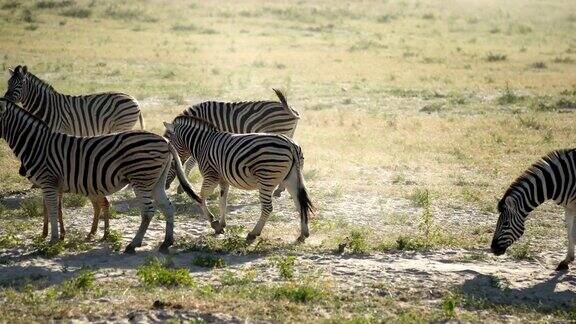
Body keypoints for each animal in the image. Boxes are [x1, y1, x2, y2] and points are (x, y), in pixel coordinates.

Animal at [0, 98, 202, 253]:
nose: (21, 171)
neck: (37, 144)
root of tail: (166, 142)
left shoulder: (48, 180)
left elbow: (52, 210)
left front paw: (53, 241)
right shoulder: (53, 184)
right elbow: (55, 210)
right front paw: (55, 236)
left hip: (141, 178)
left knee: (148, 211)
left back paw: (133, 245)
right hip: (156, 181)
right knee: (167, 207)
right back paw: (166, 242)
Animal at [5, 65, 144, 238]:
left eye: (20, 84)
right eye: (8, 82)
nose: (5, 97)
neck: (46, 107)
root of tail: (133, 98)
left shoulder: (57, 132)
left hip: (121, 125)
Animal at [162, 115, 316, 242]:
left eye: (171, 163)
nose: (165, 186)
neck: (202, 143)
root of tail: (290, 143)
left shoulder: (211, 175)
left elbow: (201, 198)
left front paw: (214, 223)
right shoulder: (223, 179)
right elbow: (222, 201)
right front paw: (222, 225)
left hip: (266, 178)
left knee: (267, 208)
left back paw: (253, 233)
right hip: (291, 179)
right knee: (299, 203)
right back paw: (303, 234)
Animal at [165, 88, 300, 197]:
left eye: (171, 163)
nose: (165, 186)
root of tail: (293, 110)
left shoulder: (202, 141)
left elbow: (189, 163)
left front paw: (181, 187)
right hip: (288, 134)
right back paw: (280, 189)